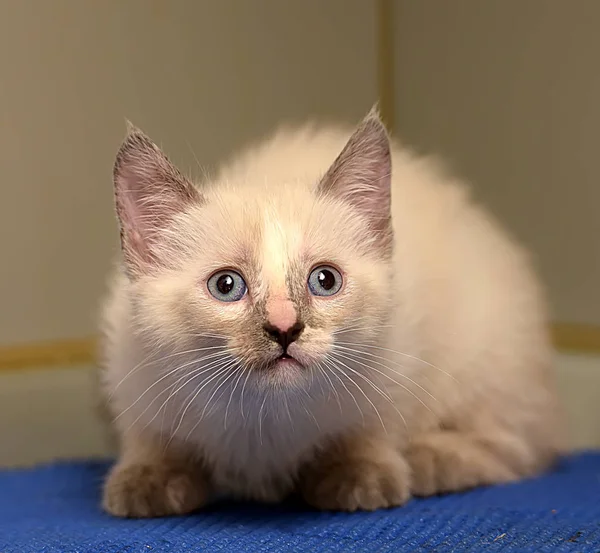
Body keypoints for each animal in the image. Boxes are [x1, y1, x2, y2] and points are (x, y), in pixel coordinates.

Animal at [101, 109, 564, 516]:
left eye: (324, 281)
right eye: (226, 286)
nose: (285, 328)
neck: (264, 421)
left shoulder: (396, 367)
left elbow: (368, 434)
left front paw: (358, 476)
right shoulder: (132, 376)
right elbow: (151, 440)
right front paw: (147, 481)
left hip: (481, 352)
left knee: (517, 448)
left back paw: (427, 459)